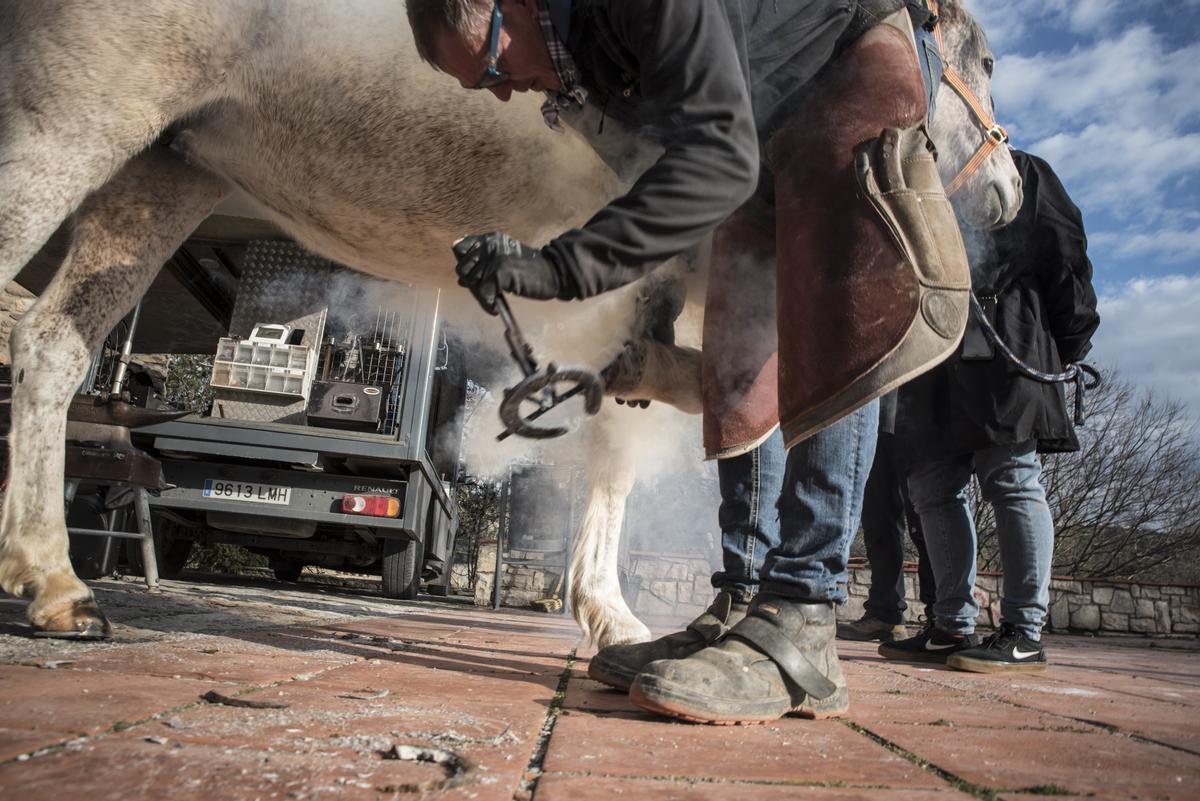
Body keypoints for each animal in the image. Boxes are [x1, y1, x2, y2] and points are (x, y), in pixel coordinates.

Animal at [0, 0, 1012, 637]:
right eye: (990, 61)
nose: (1005, 193)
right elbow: (660, 437)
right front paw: (612, 613)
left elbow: (686, 422)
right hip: (71, 116)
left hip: (166, 168)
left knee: (52, 344)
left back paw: (56, 584)